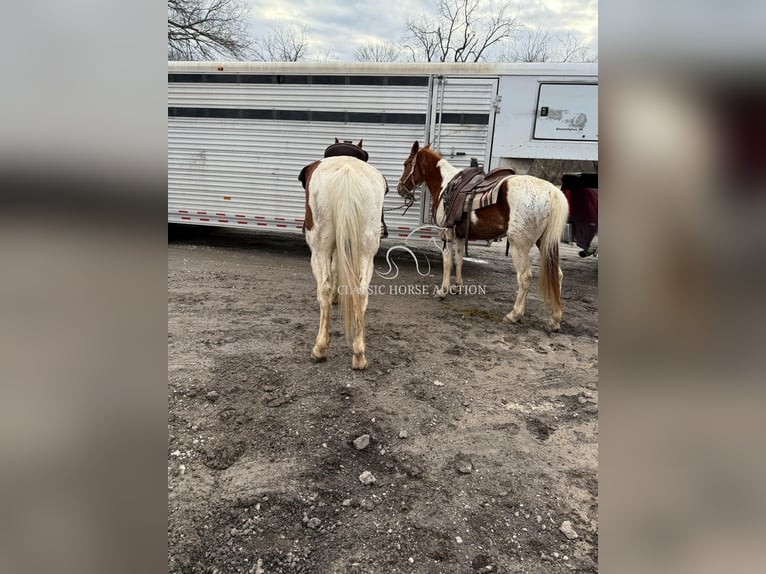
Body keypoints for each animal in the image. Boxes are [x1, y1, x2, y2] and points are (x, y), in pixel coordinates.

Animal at [296, 142, 388, 372]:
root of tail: (347, 172)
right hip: (366, 249)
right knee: (361, 292)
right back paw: (359, 354)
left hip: (319, 247)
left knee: (324, 289)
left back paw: (320, 348)